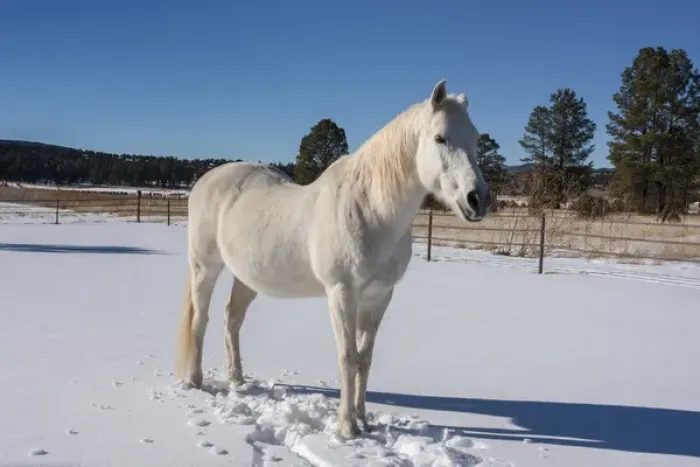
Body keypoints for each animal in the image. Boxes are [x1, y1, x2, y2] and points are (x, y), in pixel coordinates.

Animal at [174, 79, 491, 438]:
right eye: (440, 137)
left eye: (475, 138)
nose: (478, 199)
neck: (371, 210)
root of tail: (206, 180)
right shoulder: (342, 293)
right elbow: (347, 356)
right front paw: (347, 428)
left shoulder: (379, 297)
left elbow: (365, 359)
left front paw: (364, 421)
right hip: (205, 268)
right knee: (200, 319)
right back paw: (195, 381)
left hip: (247, 277)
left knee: (232, 319)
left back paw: (237, 379)